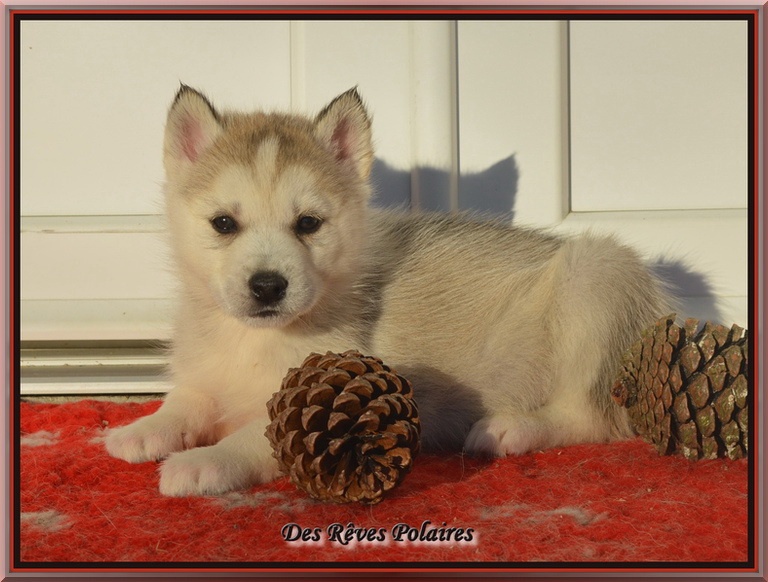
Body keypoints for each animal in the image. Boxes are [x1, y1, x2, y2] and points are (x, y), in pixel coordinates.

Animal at [105, 86, 668, 497]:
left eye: (308, 224)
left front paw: (202, 461)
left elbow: (249, 439)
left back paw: (511, 429)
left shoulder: (290, 400)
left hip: (595, 276)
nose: (267, 286)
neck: (251, 339)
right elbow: (184, 400)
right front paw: (142, 430)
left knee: (592, 419)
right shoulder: (205, 376)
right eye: (223, 223)